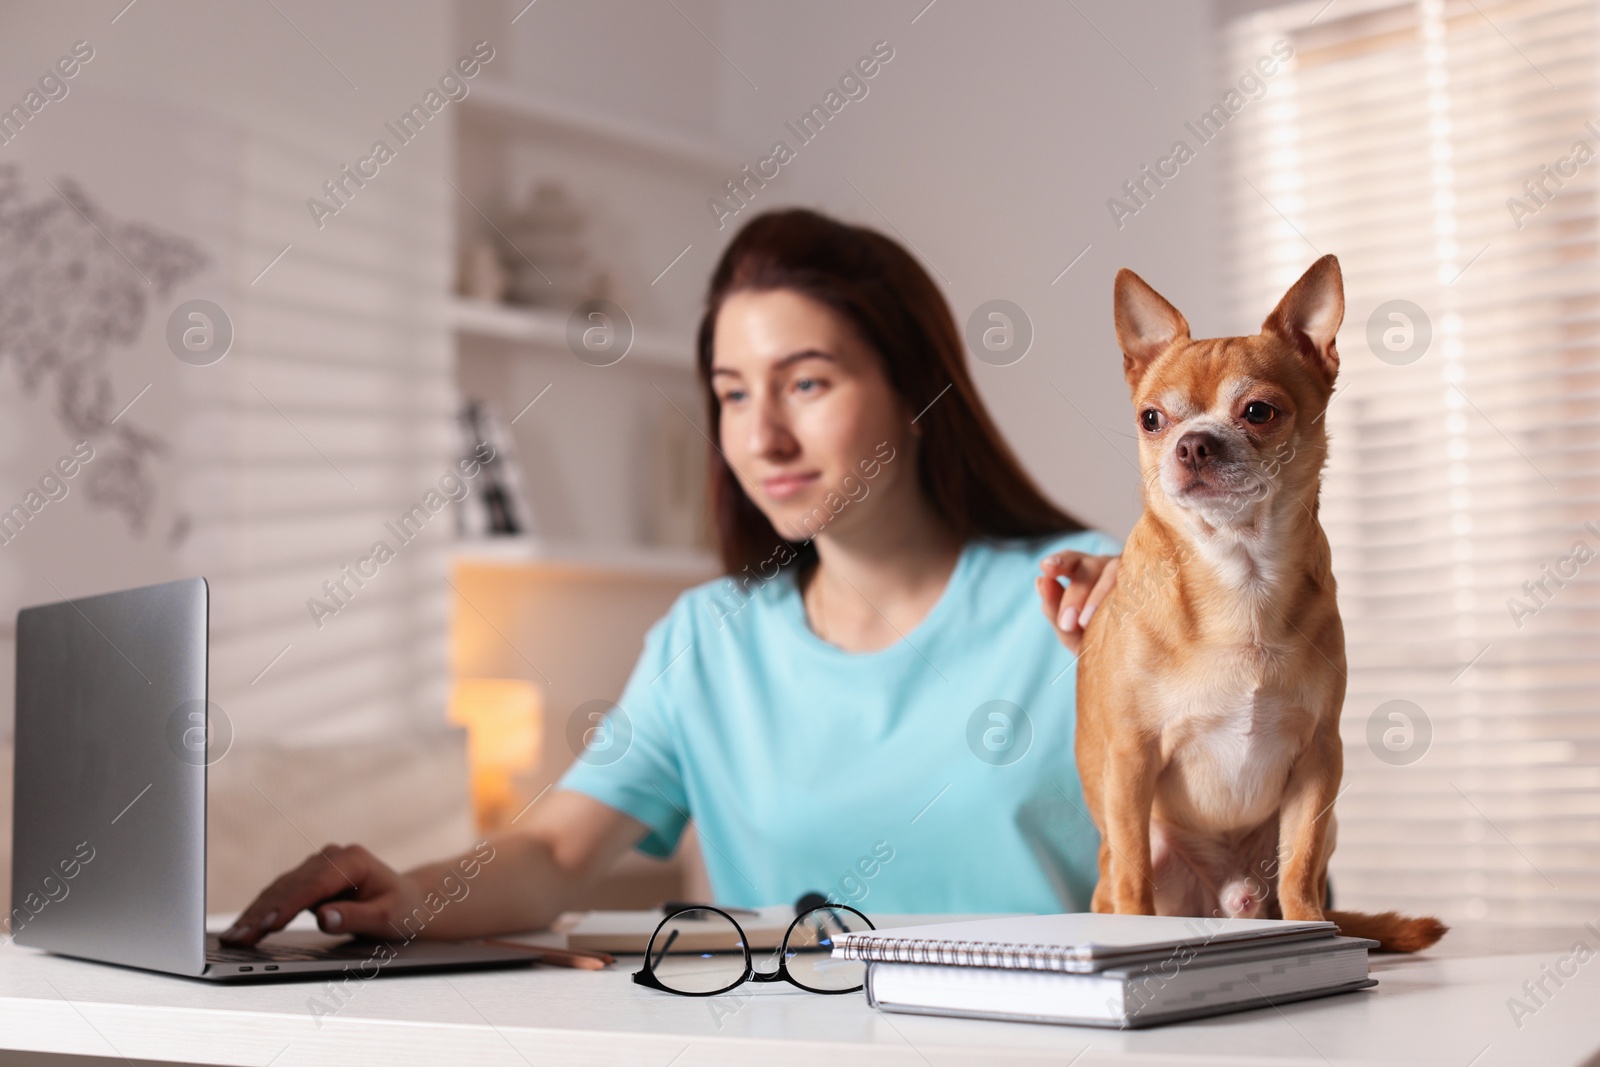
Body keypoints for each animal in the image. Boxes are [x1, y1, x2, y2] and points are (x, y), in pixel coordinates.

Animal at [1081, 255, 1446, 953]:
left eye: (1258, 411)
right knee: (1126, 873)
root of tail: (1224, 903)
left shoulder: (1317, 761)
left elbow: (1301, 864)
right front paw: (1134, 931)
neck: (1240, 577)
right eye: (1151, 420)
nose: (1193, 442)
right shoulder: (1132, 760)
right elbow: (1135, 873)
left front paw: (1315, 929)